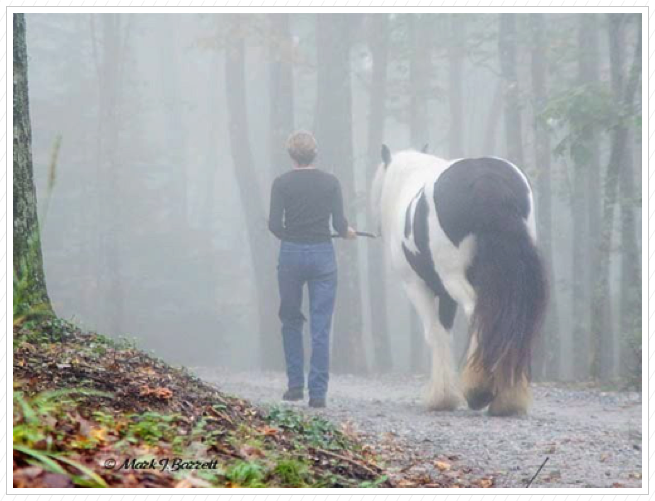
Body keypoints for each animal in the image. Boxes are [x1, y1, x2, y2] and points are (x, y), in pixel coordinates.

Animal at [374, 145, 548, 414]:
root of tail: (486, 179)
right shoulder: (445, 296)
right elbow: (444, 332)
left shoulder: (417, 287)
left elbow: (435, 334)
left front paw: (441, 396)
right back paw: (508, 397)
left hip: (453, 278)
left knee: (478, 312)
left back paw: (479, 389)